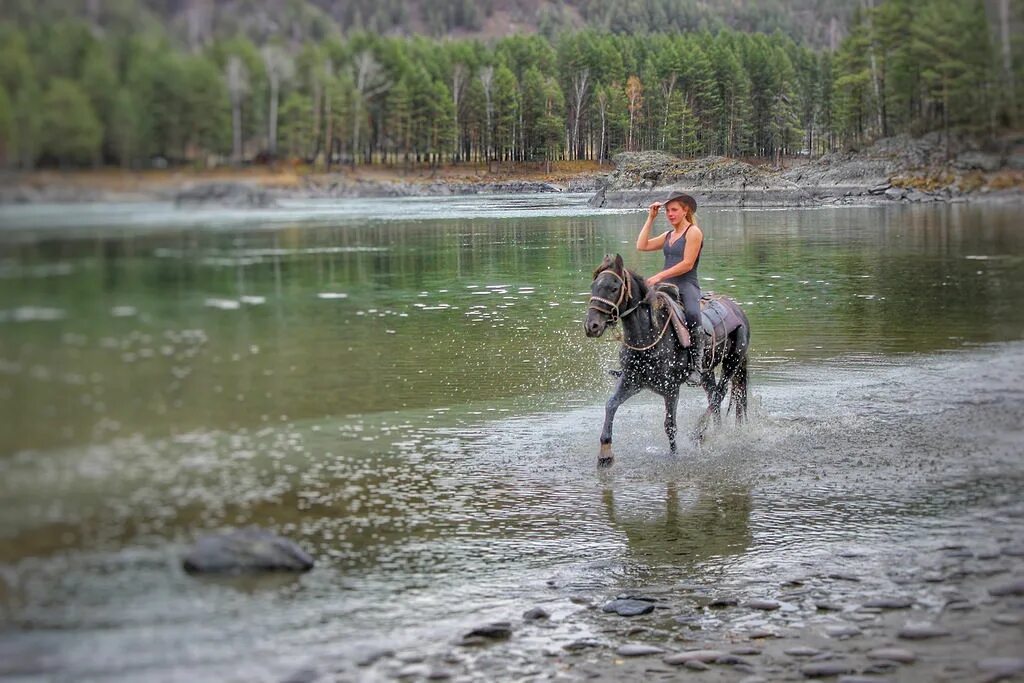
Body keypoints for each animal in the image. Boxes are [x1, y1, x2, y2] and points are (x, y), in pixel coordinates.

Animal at [585, 253, 753, 466]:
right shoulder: (631, 381)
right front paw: (605, 453)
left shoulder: (671, 389)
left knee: (719, 394)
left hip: (732, 362)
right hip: (707, 371)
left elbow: (670, 425)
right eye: (593, 286)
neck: (648, 336)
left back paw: (697, 433)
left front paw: (674, 455)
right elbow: (611, 405)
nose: (591, 326)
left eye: (614, 288)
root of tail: (738, 310)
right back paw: (714, 432)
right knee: (713, 395)